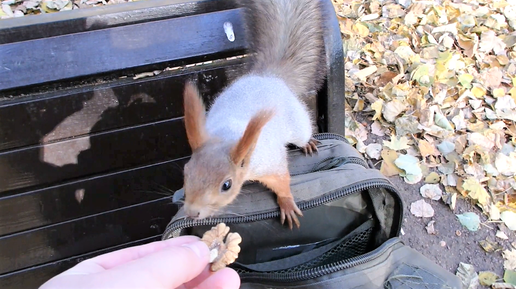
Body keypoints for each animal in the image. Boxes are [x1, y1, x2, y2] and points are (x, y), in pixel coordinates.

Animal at [181, 0, 326, 230]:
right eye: (186, 172)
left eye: (226, 185)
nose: (192, 213)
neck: (227, 136)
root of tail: (269, 77)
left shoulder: (270, 162)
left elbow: (282, 181)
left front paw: (286, 203)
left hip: (298, 124)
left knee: (302, 134)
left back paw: (308, 143)